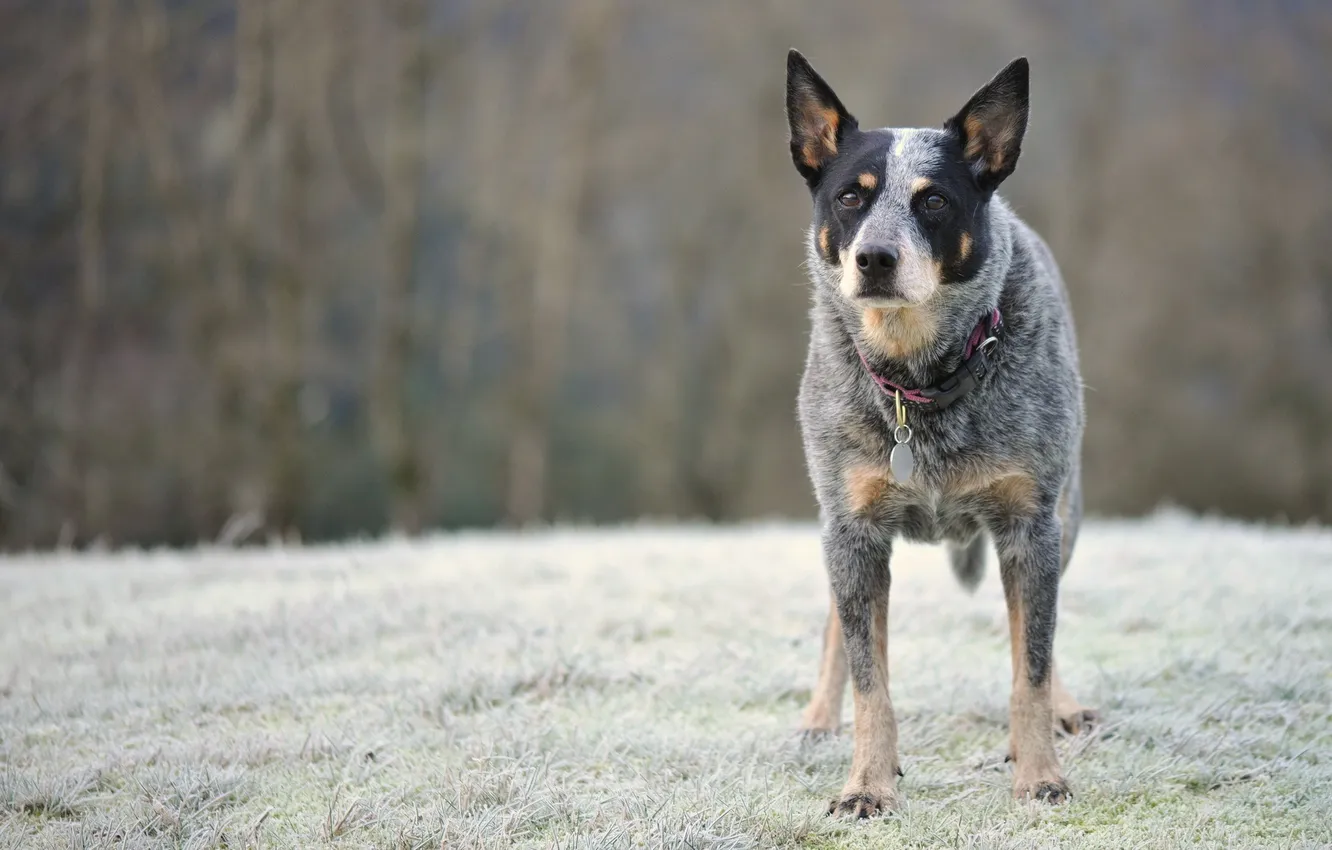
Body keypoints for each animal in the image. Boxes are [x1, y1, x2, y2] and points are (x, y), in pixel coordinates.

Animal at [783, 48, 1097, 820]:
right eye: (851, 197)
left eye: (932, 201)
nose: (874, 258)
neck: (919, 381)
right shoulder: (854, 530)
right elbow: (870, 678)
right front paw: (868, 784)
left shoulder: (1029, 524)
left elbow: (1031, 664)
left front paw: (1039, 775)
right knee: (838, 627)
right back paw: (818, 718)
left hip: (1065, 515)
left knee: (1039, 631)